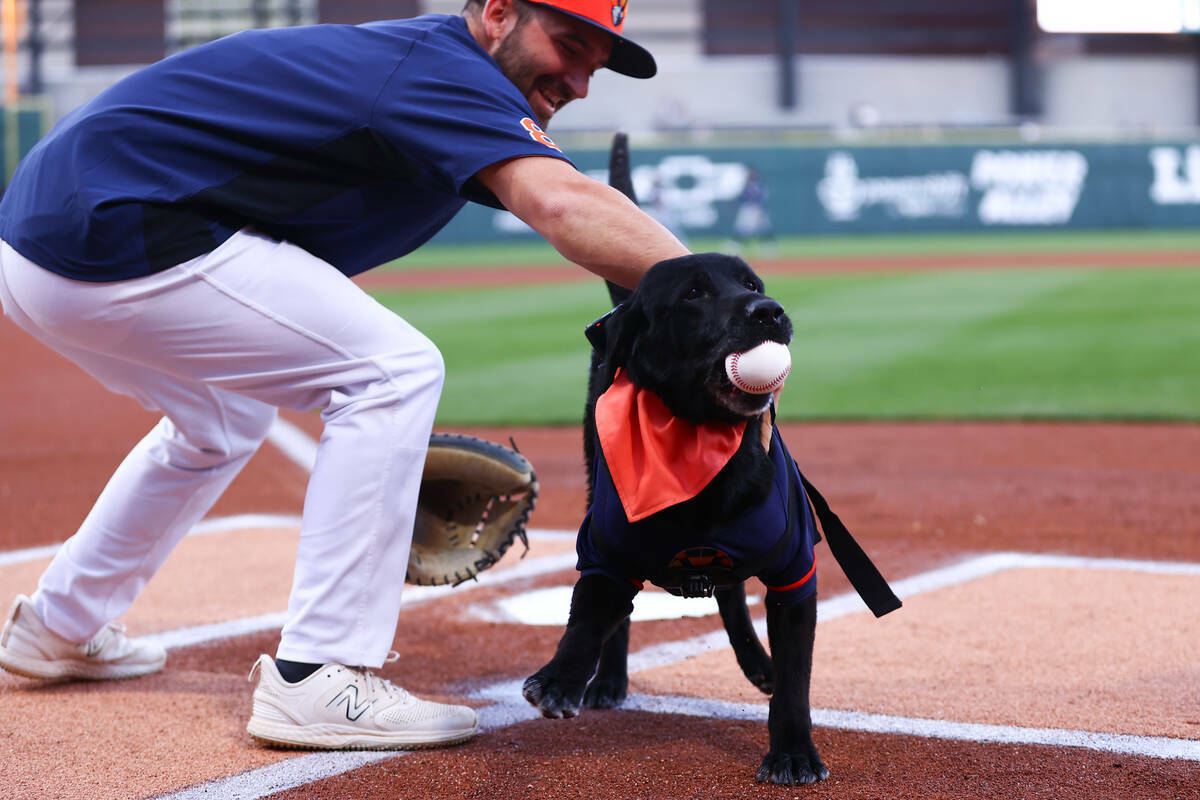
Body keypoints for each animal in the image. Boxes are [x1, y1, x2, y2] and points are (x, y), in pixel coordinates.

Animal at [520, 253, 830, 786]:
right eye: (693, 294)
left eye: (752, 284)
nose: (769, 311)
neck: (700, 449)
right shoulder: (604, 550)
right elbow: (588, 618)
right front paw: (561, 678)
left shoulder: (794, 573)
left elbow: (794, 679)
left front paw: (793, 753)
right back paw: (608, 680)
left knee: (730, 595)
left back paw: (757, 662)